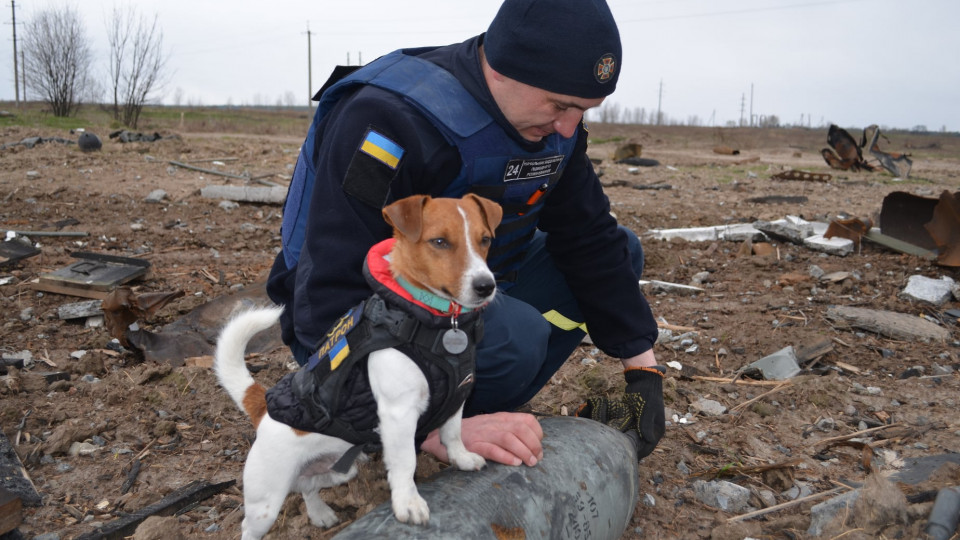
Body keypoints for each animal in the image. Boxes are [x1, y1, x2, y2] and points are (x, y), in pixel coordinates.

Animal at [216, 195, 502, 540]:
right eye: (440, 242)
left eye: (485, 240)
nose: (486, 286)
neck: (438, 323)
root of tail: (262, 406)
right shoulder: (398, 414)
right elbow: (405, 462)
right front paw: (408, 503)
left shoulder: (457, 396)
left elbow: (453, 433)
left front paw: (461, 459)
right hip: (266, 501)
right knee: (252, 525)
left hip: (339, 469)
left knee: (308, 486)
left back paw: (320, 513)